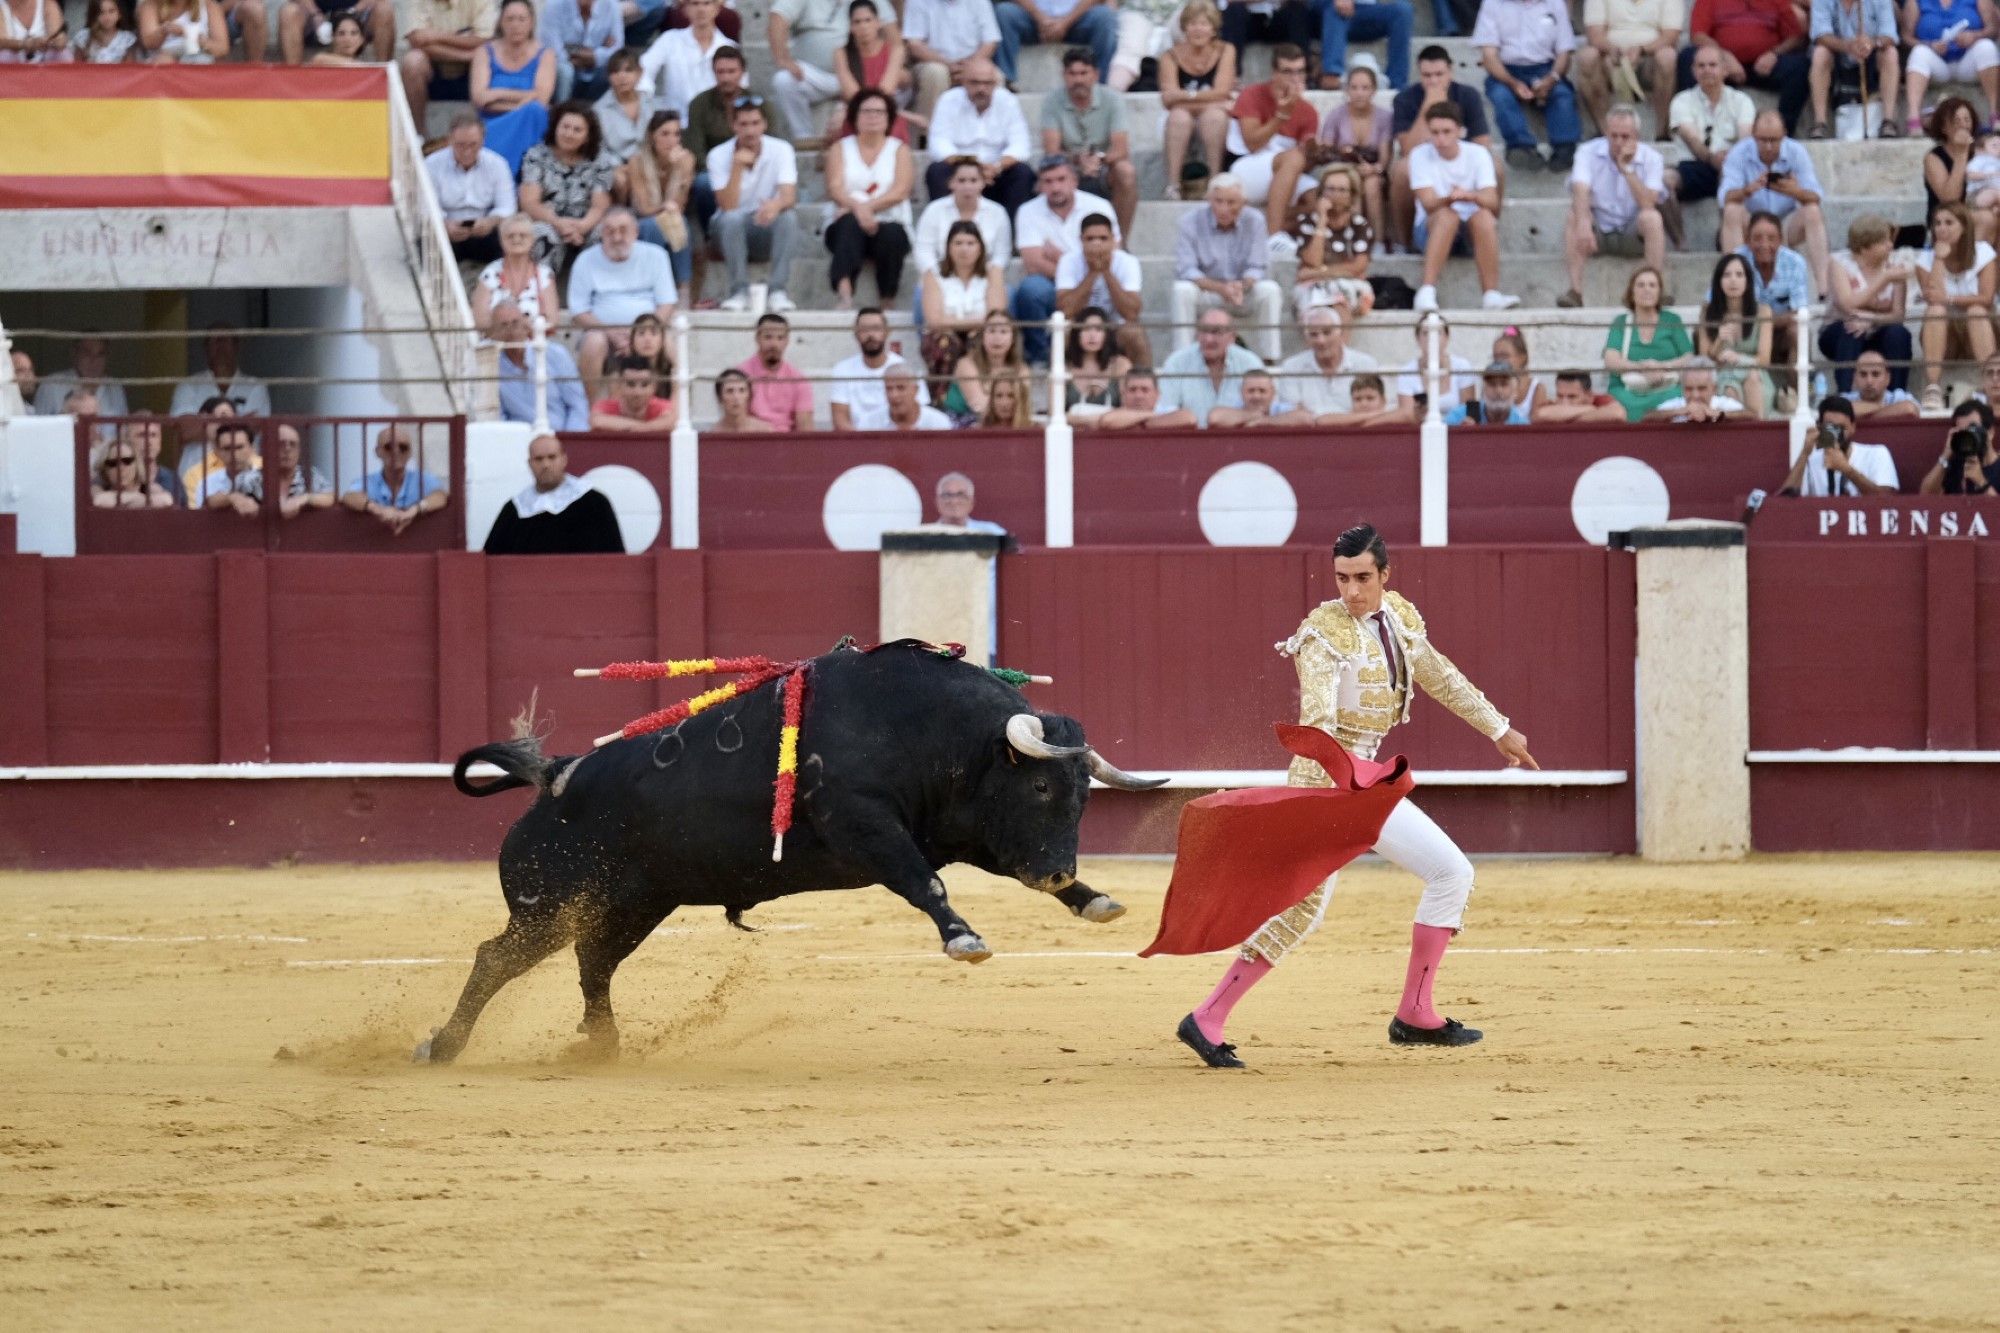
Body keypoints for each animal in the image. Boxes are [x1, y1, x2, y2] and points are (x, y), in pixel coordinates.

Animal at [416, 640, 1168, 1064]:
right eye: (1040, 784)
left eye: (1084, 794)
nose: (1059, 870)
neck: (921, 728)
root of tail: (554, 777)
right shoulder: (870, 829)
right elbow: (926, 885)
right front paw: (965, 940)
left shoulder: (957, 829)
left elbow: (986, 868)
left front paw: (1092, 898)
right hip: (550, 904)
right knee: (496, 959)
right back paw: (441, 1046)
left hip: (631, 904)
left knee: (592, 963)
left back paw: (602, 1046)